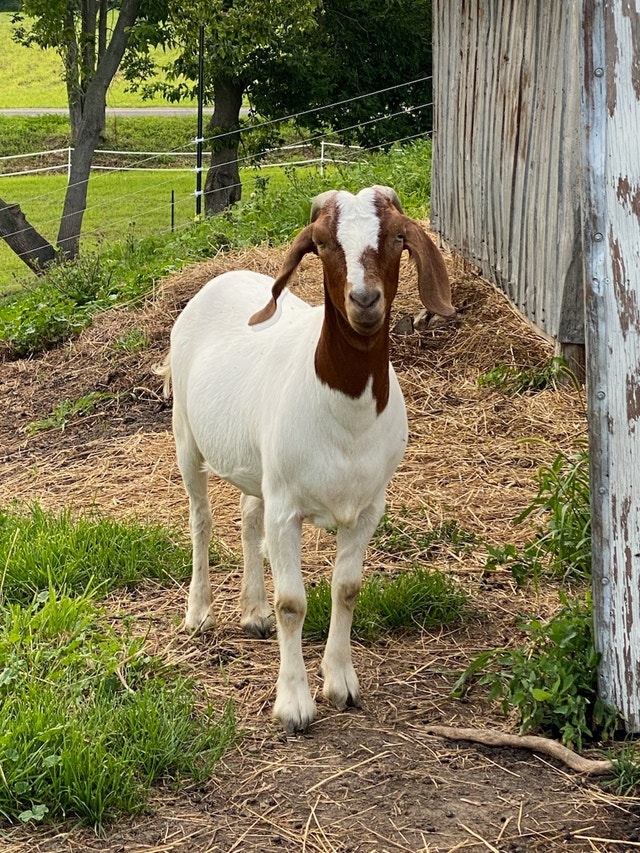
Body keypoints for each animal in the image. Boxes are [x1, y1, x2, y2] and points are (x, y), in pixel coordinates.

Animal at [162, 185, 455, 734]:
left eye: (397, 237)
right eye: (320, 243)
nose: (364, 300)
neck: (345, 416)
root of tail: (222, 277)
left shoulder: (367, 508)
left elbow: (347, 589)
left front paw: (341, 683)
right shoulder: (288, 510)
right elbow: (293, 603)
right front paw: (294, 703)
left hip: (257, 467)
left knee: (247, 517)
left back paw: (252, 612)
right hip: (186, 435)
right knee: (201, 520)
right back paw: (199, 614)